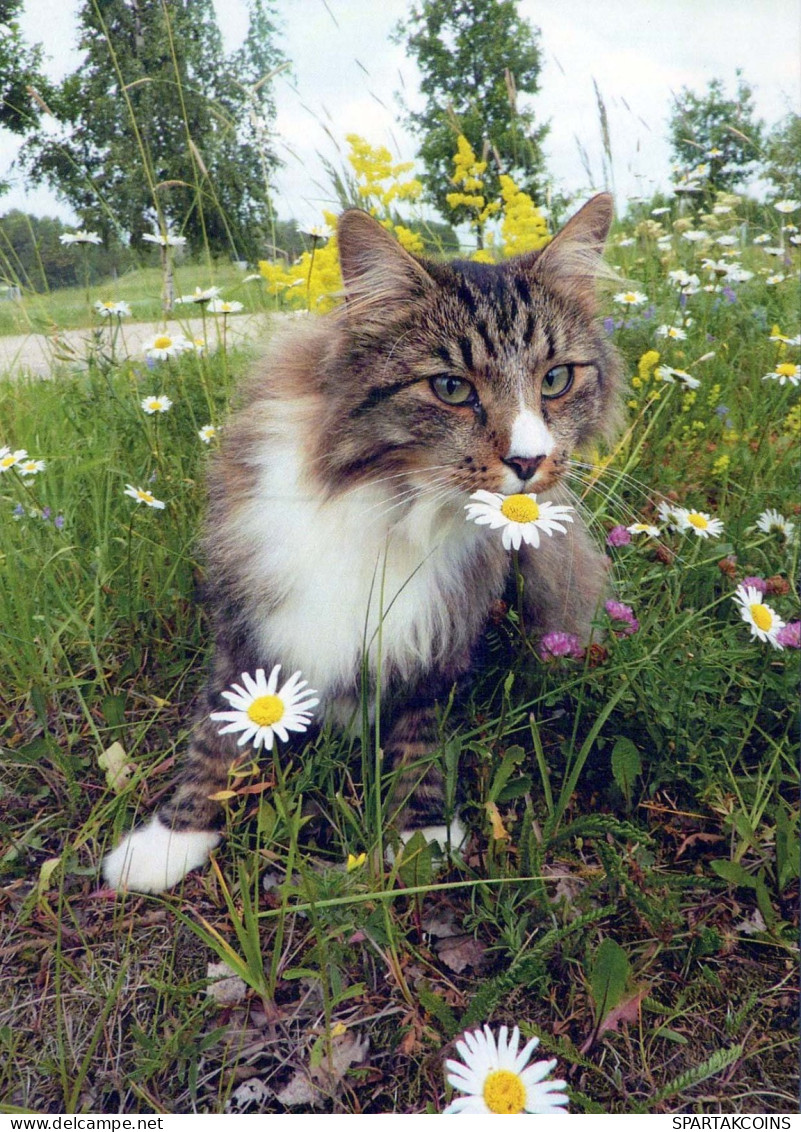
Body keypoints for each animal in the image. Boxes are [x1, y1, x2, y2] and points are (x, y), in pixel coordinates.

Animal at [103, 192, 624, 892]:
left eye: (556, 380)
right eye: (452, 387)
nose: (530, 461)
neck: (393, 502)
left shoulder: (438, 635)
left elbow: (420, 734)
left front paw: (423, 833)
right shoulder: (248, 619)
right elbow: (218, 734)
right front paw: (168, 841)